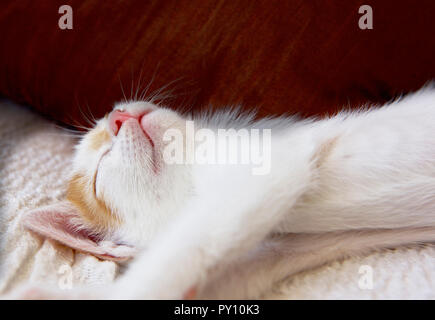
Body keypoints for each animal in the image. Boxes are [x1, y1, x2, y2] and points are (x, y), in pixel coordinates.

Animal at [4, 85, 435, 300]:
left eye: (111, 115)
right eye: (97, 177)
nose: (119, 115)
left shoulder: (270, 167)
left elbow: (185, 249)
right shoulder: (280, 247)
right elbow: (216, 276)